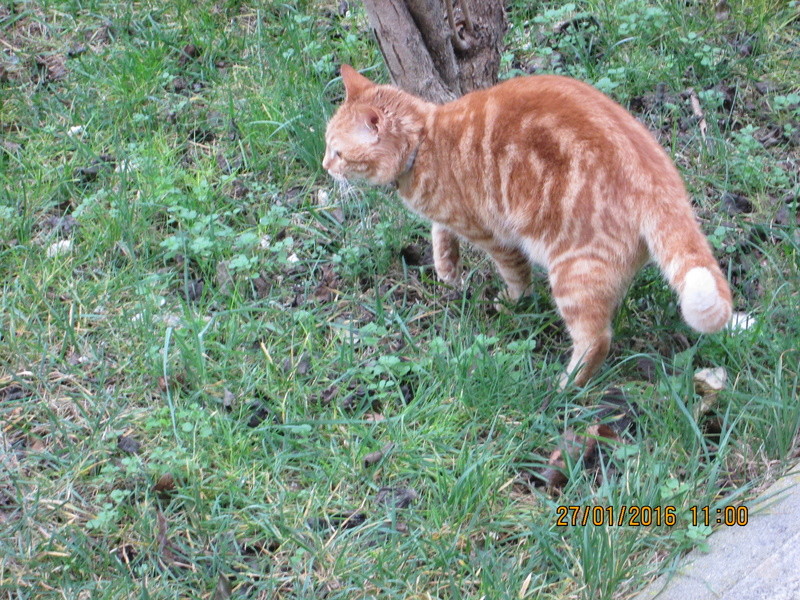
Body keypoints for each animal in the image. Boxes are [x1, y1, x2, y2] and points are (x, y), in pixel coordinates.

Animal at [324, 64, 732, 384]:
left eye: (338, 152)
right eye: (329, 147)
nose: (325, 167)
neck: (425, 139)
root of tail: (658, 179)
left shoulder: (493, 235)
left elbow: (515, 273)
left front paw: (511, 300)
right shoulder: (450, 219)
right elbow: (441, 234)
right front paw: (446, 269)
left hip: (573, 271)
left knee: (596, 338)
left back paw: (565, 386)